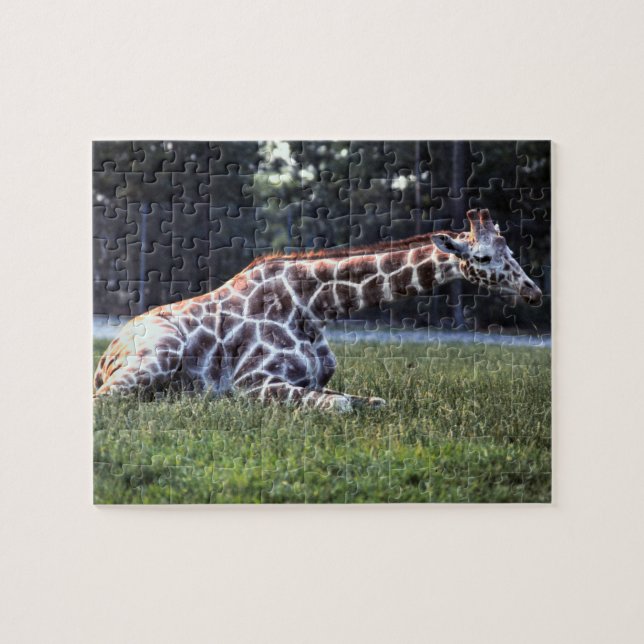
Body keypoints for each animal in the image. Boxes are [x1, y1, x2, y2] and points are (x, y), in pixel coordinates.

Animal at [94, 209, 542, 411]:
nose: (534, 292)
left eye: (510, 250)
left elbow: (374, 402)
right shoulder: (251, 384)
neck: (313, 306)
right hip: (159, 354)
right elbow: (341, 406)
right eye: (483, 257)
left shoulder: (314, 381)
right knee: (106, 400)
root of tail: (107, 353)